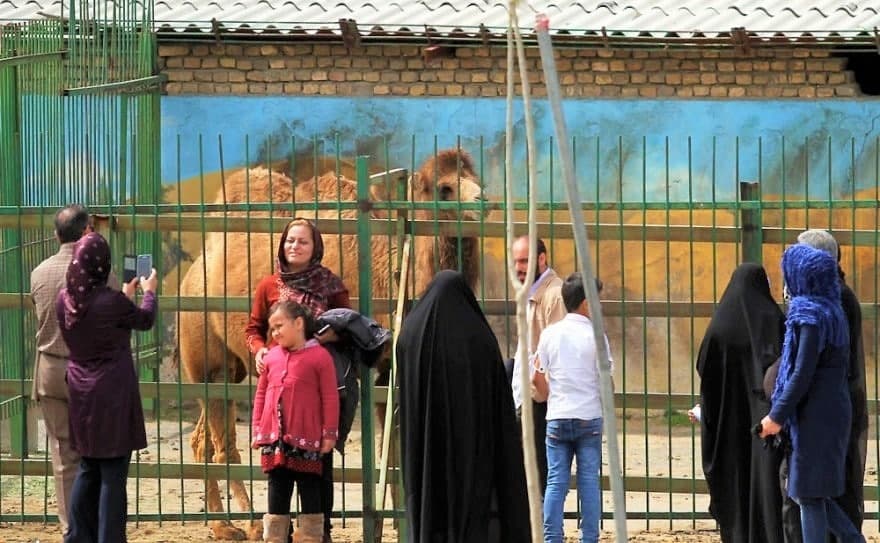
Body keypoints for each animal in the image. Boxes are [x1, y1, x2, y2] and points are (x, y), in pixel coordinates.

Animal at [175, 148, 484, 540]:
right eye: (445, 188)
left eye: (476, 179)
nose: (482, 201)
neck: (388, 272)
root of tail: (190, 275)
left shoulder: (388, 369)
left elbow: (393, 447)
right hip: (205, 357)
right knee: (223, 444)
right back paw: (243, 524)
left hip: (228, 369)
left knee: (204, 436)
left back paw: (223, 523)